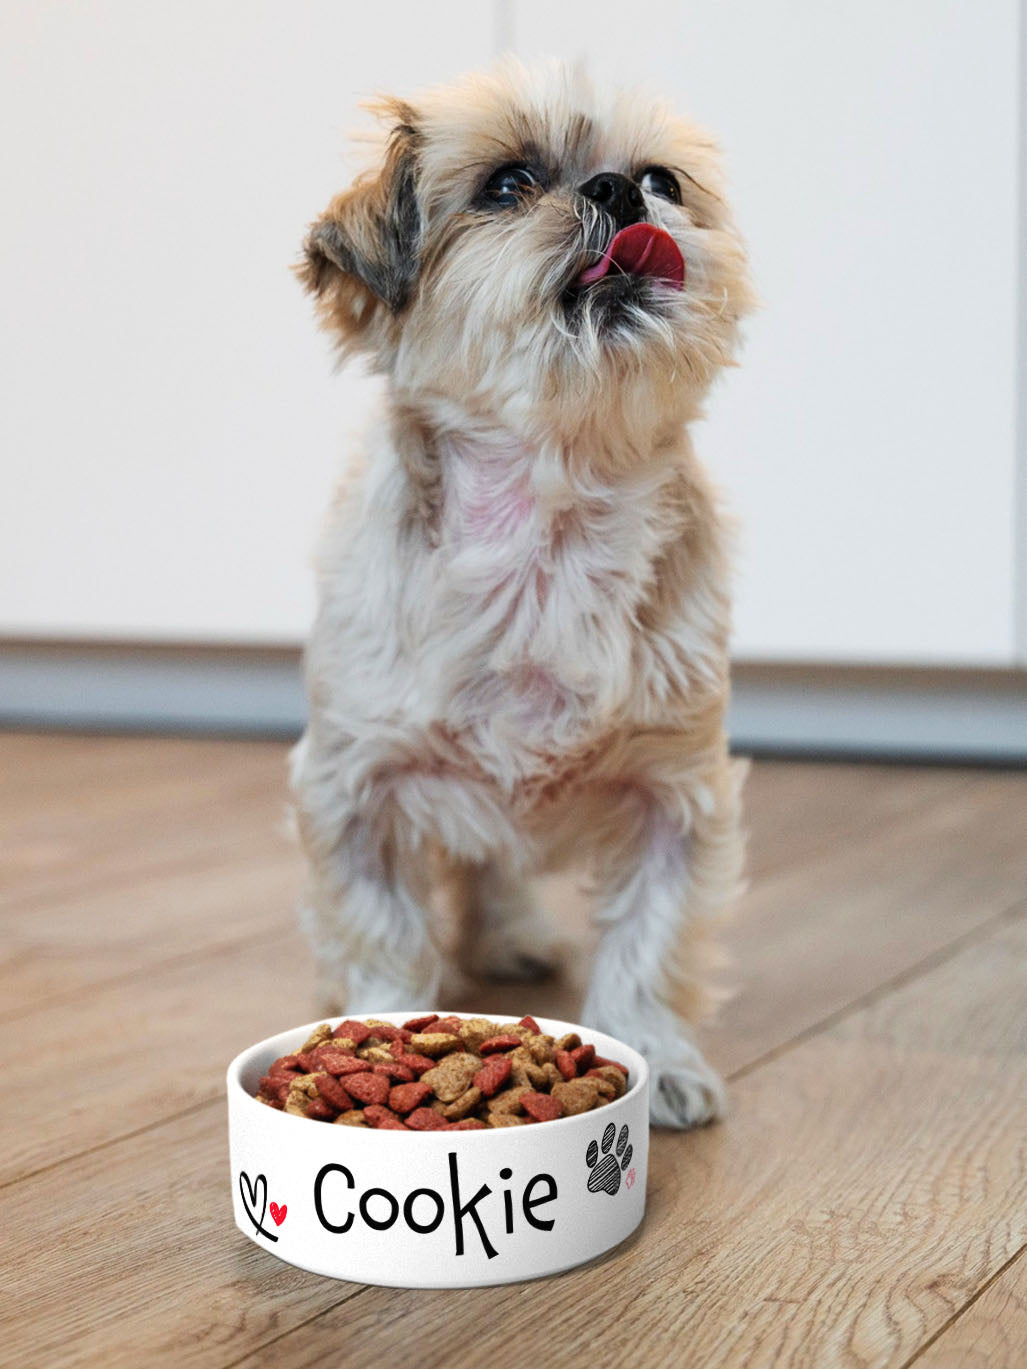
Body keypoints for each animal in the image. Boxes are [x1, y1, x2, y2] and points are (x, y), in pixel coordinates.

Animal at [290, 56, 755, 1122]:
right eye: (507, 185)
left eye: (663, 179)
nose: (619, 192)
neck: (546, 536)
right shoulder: (356, 787)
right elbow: (383, 929)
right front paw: (378, 1032)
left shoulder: (675, 794)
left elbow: (649, 945)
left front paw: (658, 1061)